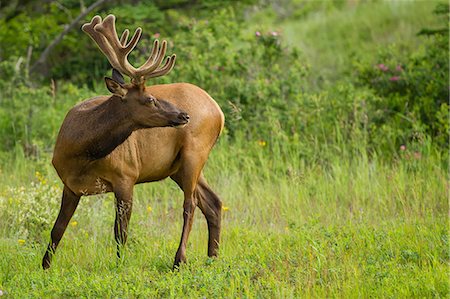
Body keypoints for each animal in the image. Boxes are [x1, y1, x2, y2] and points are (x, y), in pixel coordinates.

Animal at [41, 15, 224, 270]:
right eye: (150, 99)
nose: (184, 115)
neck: (80, 153)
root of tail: (219, 111)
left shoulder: (126, 175)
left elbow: (120, 232)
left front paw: (120, 265)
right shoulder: (70, 185)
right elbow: (57, 230)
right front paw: (45, 266)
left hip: (195, 152)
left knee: (190, 204)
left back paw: (180, 259)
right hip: (177, 167)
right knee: (213, 202)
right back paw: (212, 258)